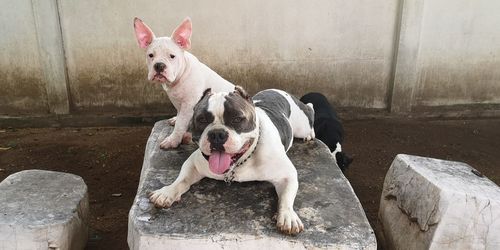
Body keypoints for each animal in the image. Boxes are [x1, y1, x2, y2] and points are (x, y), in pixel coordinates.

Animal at [133, 17, 234, 148]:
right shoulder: (177, 101)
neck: (180, 77)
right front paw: (176, 119)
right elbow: (179, 116)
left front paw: (172, 141)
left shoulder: (189, 105)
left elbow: (180, 125)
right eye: (150, 55)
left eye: (172, 56)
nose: (159, 65)